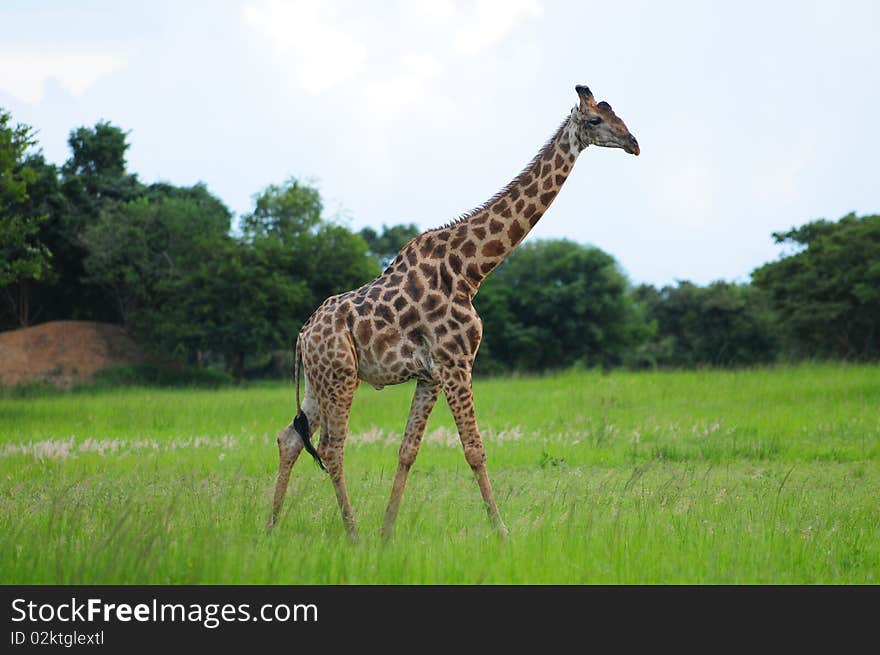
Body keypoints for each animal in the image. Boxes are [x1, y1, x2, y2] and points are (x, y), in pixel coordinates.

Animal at [268, 84, 640, 540]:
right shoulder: (457, 361)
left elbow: (408, 451)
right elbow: (475, 449)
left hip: (319, 380)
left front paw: (387, 532)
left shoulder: (430, 373)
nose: (633, 143)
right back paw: (352, 535)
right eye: (595, 120)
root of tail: (303, 335)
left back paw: (270, 528)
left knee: (290, 438)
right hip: (340, 377)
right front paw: (502, 531)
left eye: (618, 115)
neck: (471, 269)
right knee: (330, 449)